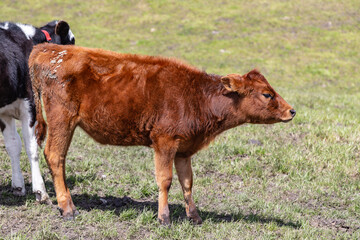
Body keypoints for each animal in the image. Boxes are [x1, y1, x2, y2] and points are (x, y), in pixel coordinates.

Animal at [0, 20, 75, 202]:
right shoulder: (30, 104)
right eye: (71, 43)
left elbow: (13, 145)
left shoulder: (5, 112)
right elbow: (31, 147)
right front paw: (40, 191)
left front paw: (18, 186)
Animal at [29, 43, 296, 225]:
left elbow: (187, 182)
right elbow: (165, 180)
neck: (196, 96)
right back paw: (67, 207)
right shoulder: (164, 142)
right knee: (55, 156)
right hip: (62, 120)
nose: (292, 111)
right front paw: (164, 217)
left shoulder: (184, 150)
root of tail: (50, 49)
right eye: (267, 94)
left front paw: (194, 217)